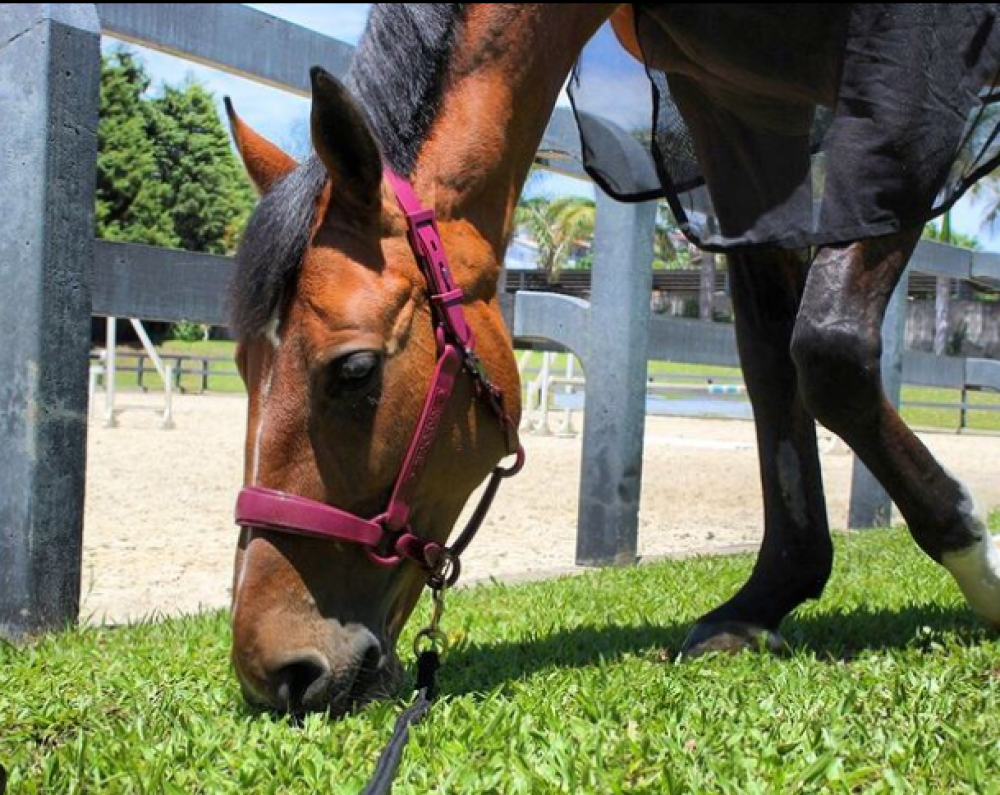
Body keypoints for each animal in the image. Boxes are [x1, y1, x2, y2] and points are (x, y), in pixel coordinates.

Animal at [225, 4, 1000, 716]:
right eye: (240, 366)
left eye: (354, 370)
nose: (276, 670)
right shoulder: (735, 107)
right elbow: (770, 357)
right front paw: (766, 597)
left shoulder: (913, 70)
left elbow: (827, 349)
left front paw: (981, 565)